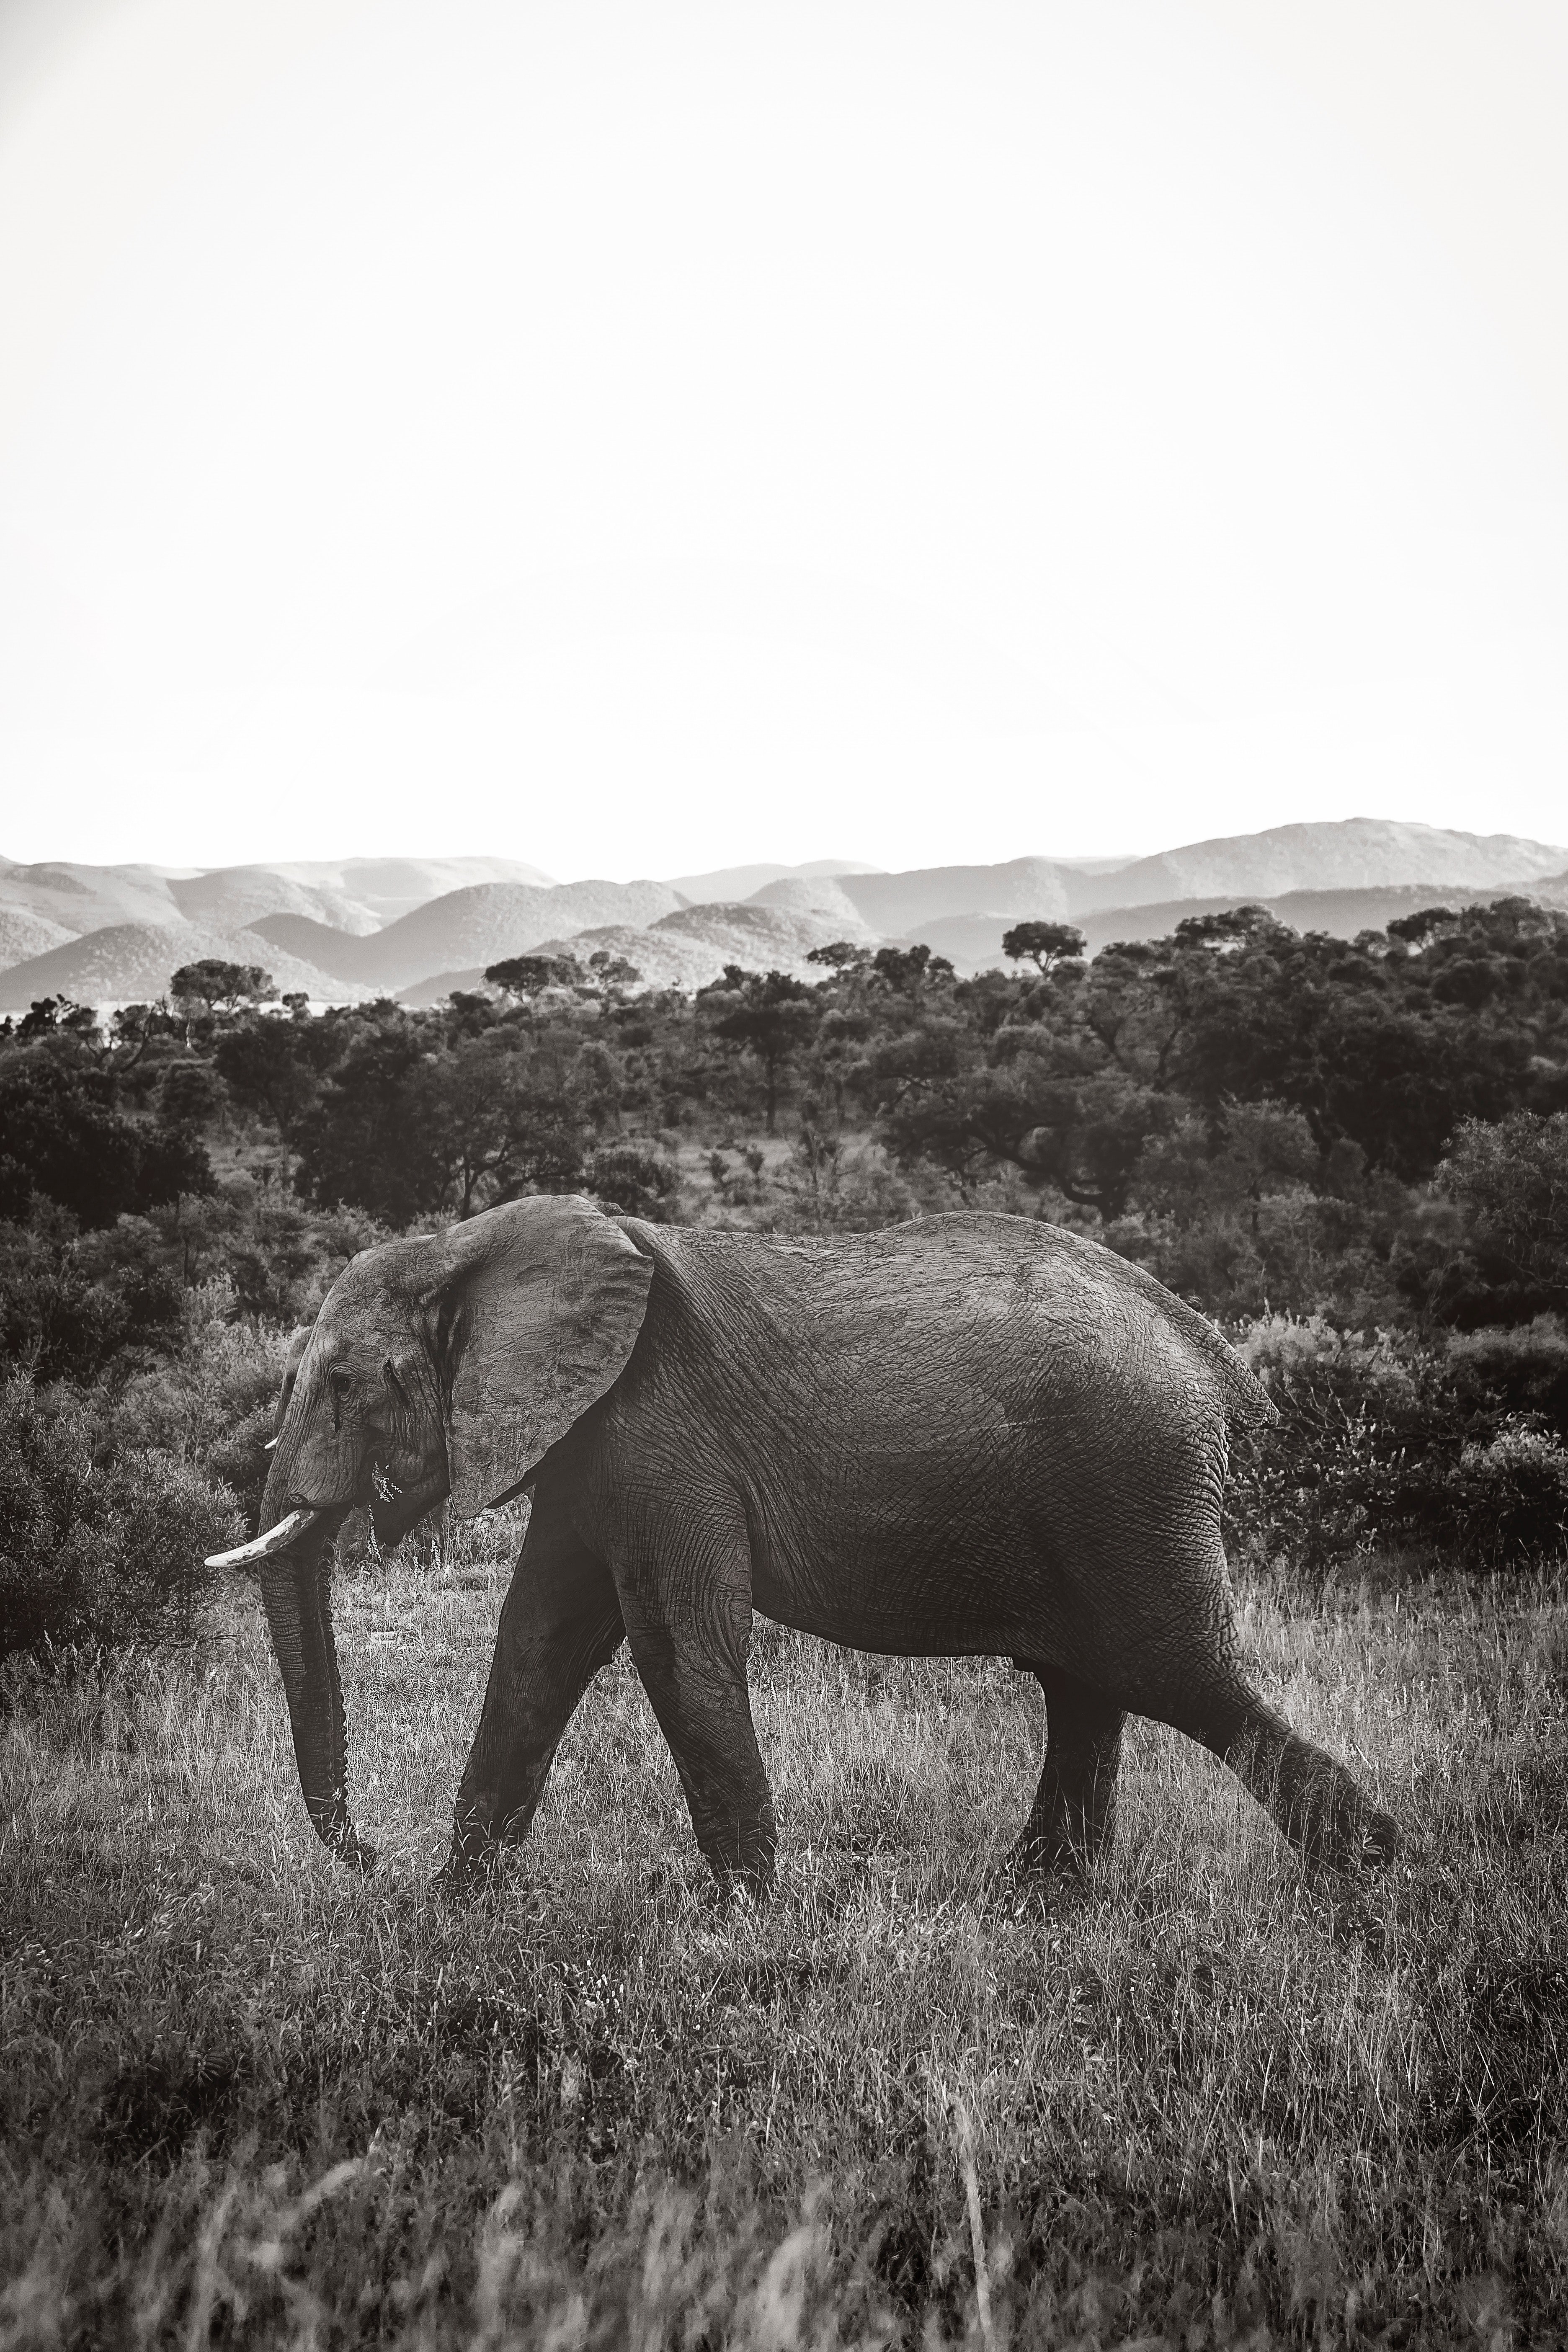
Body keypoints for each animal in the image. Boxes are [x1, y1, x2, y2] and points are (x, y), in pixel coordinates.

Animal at [209, 1195, 1398, 1890]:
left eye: (344, 1382)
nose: (369, 1858)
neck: (472, 1246)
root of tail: (1211, 1355)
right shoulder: (588, 1445)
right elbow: (537, 1645)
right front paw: (459, 1910)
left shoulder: (655, 1431)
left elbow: (675, 1648)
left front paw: (742, 1920)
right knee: (1086, 1686)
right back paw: (1036, 1906)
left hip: (1130, 1480)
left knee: (1169, 1671)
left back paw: (1370, 1880)